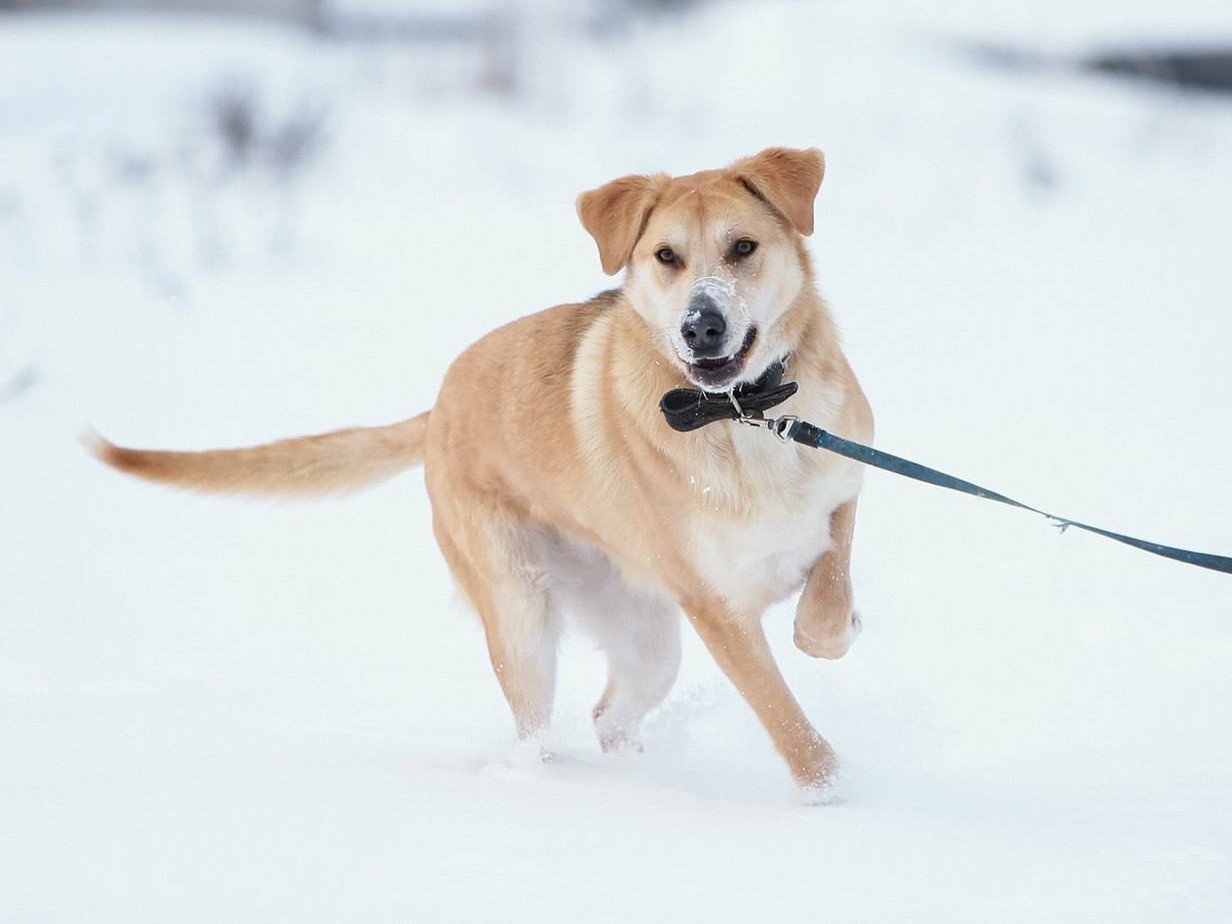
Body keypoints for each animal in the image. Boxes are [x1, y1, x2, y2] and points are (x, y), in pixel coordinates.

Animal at [96, 148, 877, 798]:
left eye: (743, 247)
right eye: (666, 256)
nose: (700, 326)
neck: (745, 415)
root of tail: (439, 405)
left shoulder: (844, 483)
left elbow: (830, 580)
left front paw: (830, 629)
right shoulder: (715, 607)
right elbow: (778, 708)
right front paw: (825, 788)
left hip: (644, 636)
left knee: (610, 716)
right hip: (521, 608)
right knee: (538, 722)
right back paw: (541, 782)